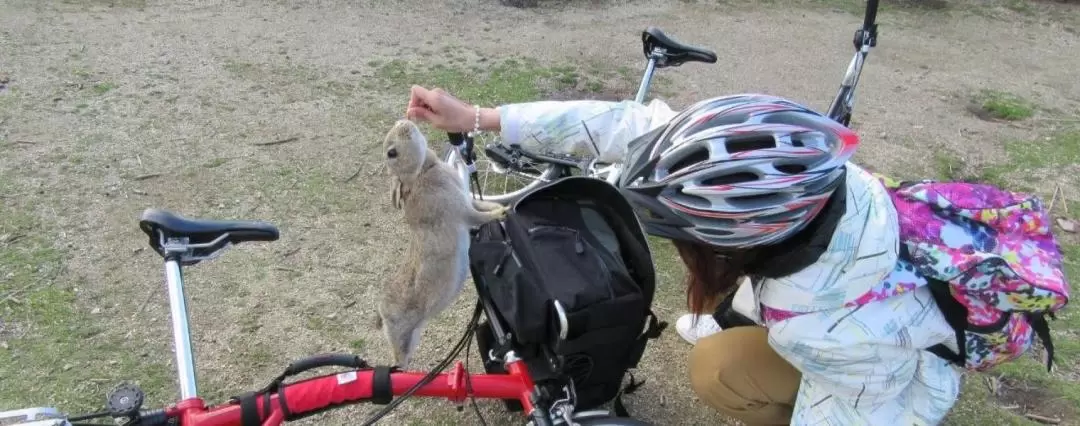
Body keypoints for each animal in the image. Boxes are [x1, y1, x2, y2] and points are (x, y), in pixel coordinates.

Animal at [373, 118, 507, 367]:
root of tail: (382, 311)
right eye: (391, 152)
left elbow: (480, 206)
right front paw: (501, 212)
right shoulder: (462, 211)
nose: (405, 122)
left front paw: (497, 207)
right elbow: (478, 216)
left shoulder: (466, 199)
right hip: (402, 335)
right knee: (399, 358)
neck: (422, 171)